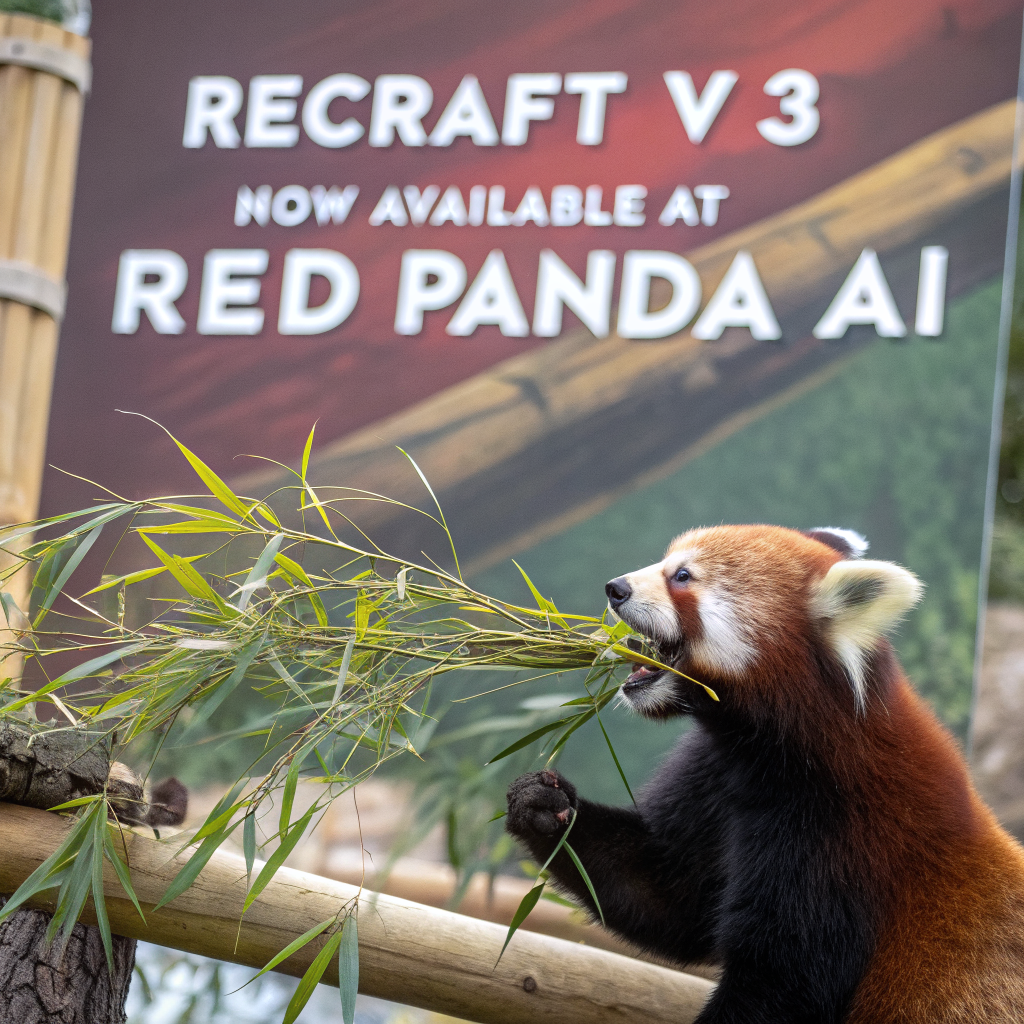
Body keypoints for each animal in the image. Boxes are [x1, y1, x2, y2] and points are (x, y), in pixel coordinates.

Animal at [505, 525, 1024, 1023]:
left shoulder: (842, 837)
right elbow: (666, 892)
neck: (775, 753)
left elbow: (782, 983)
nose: (615, 588)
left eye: (682, 576)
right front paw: (545, 805)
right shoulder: (719, 775)